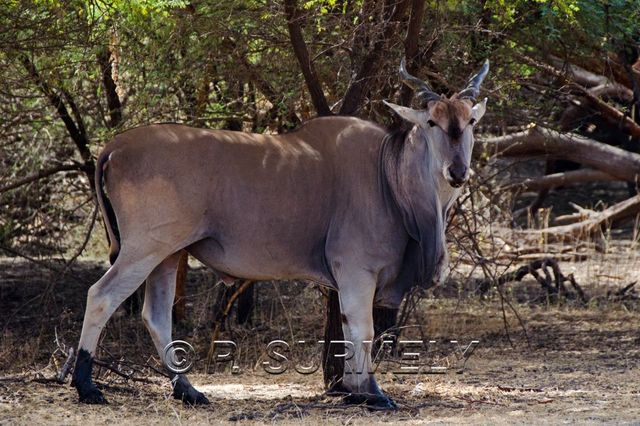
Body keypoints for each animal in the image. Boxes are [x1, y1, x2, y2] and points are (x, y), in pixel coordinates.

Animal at [71, 60, 490, 410]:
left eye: (470, 122)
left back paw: (188, 390)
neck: (387, 171)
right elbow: (363, 329)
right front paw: (371, 393)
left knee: (155, 316)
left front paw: (354, 392)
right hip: (144, 249)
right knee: (101, 296)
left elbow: (349, 327)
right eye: (432, 123)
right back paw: (86, 386)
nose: (457, 171)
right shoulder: (357, 271)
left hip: (168, 254)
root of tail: (114, 147)